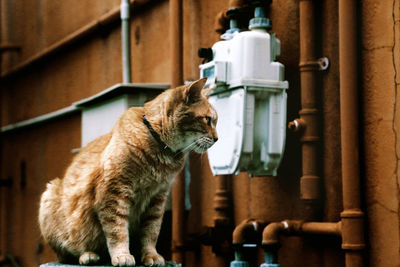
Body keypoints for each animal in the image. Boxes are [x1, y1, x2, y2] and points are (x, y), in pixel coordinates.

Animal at [39, 78, 217, 266]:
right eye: (208, 119)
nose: (217, 139)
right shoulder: (114, 192)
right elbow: (117, 230)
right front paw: (122, 255)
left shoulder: (157, 198)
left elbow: (151, 231)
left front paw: (150, 255)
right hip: (49, 197)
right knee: (68, 253)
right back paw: (88, 255)